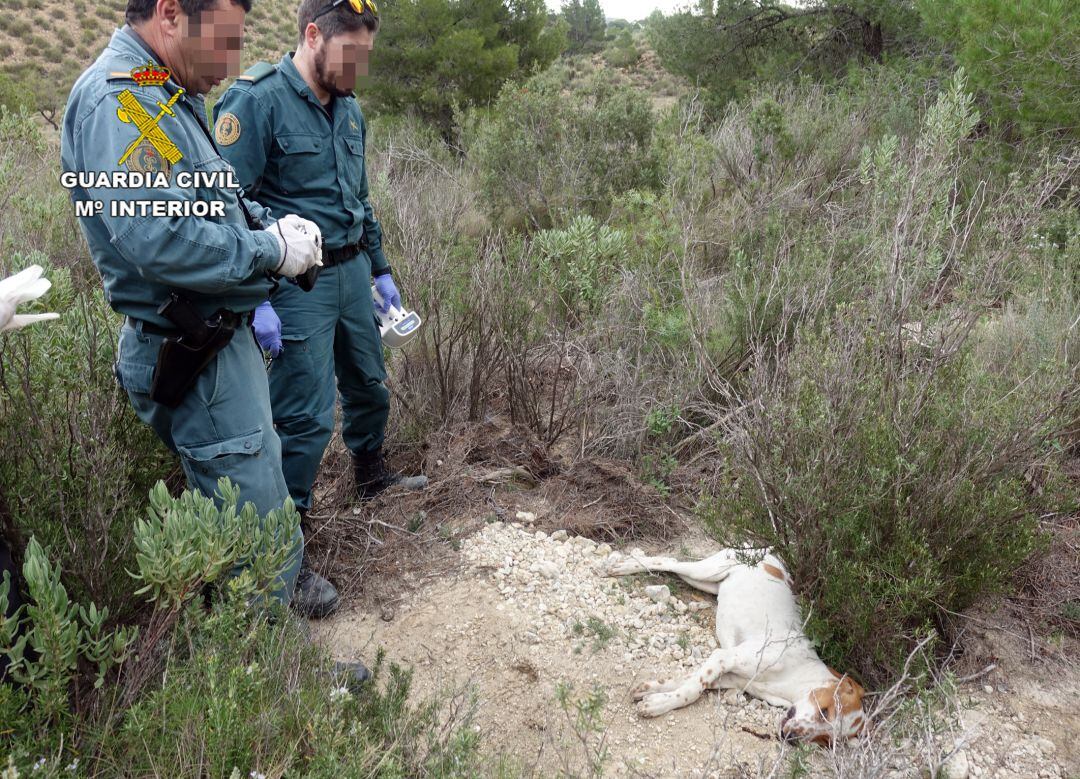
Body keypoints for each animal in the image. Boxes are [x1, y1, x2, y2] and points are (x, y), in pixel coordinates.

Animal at [604, 544, 864, 743]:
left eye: (826, 739)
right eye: (825, 712)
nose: (790, 738)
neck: (795, 675)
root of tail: (765, 549)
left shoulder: (731, 676)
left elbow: (686, 680)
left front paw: (652, 691)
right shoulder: (724, 657)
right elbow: (692, 691)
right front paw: (660, 705)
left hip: (707, 583)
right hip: (707, 571)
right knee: (669, 560)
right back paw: (625, 566)